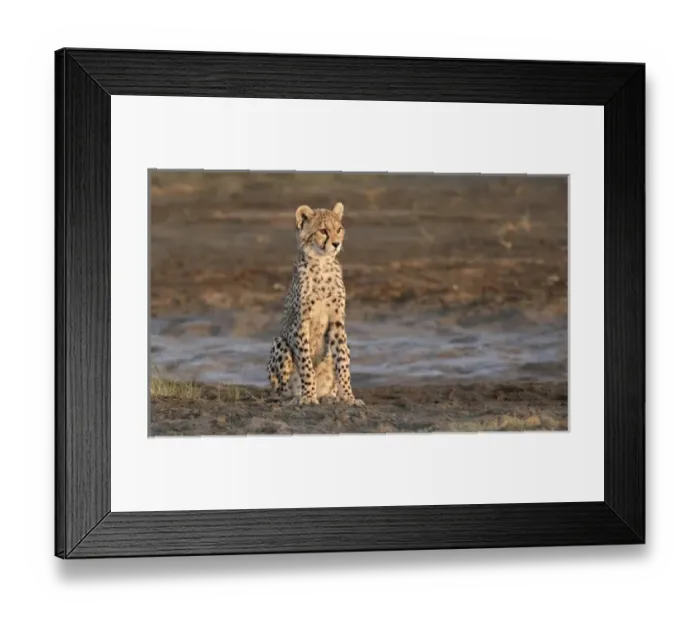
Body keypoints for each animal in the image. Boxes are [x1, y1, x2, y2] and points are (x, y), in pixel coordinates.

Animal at [267, 202, 365, 407]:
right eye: (323, 231)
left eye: (339, 229)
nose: (336, 243)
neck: (322, 264)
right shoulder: (300, 323)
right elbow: (306, 364)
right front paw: (308, 396)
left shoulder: (337, 321)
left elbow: (342, 362)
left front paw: (348, 397)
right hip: (280, 342)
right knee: (281, 389)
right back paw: (295, 396)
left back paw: (329, 395)